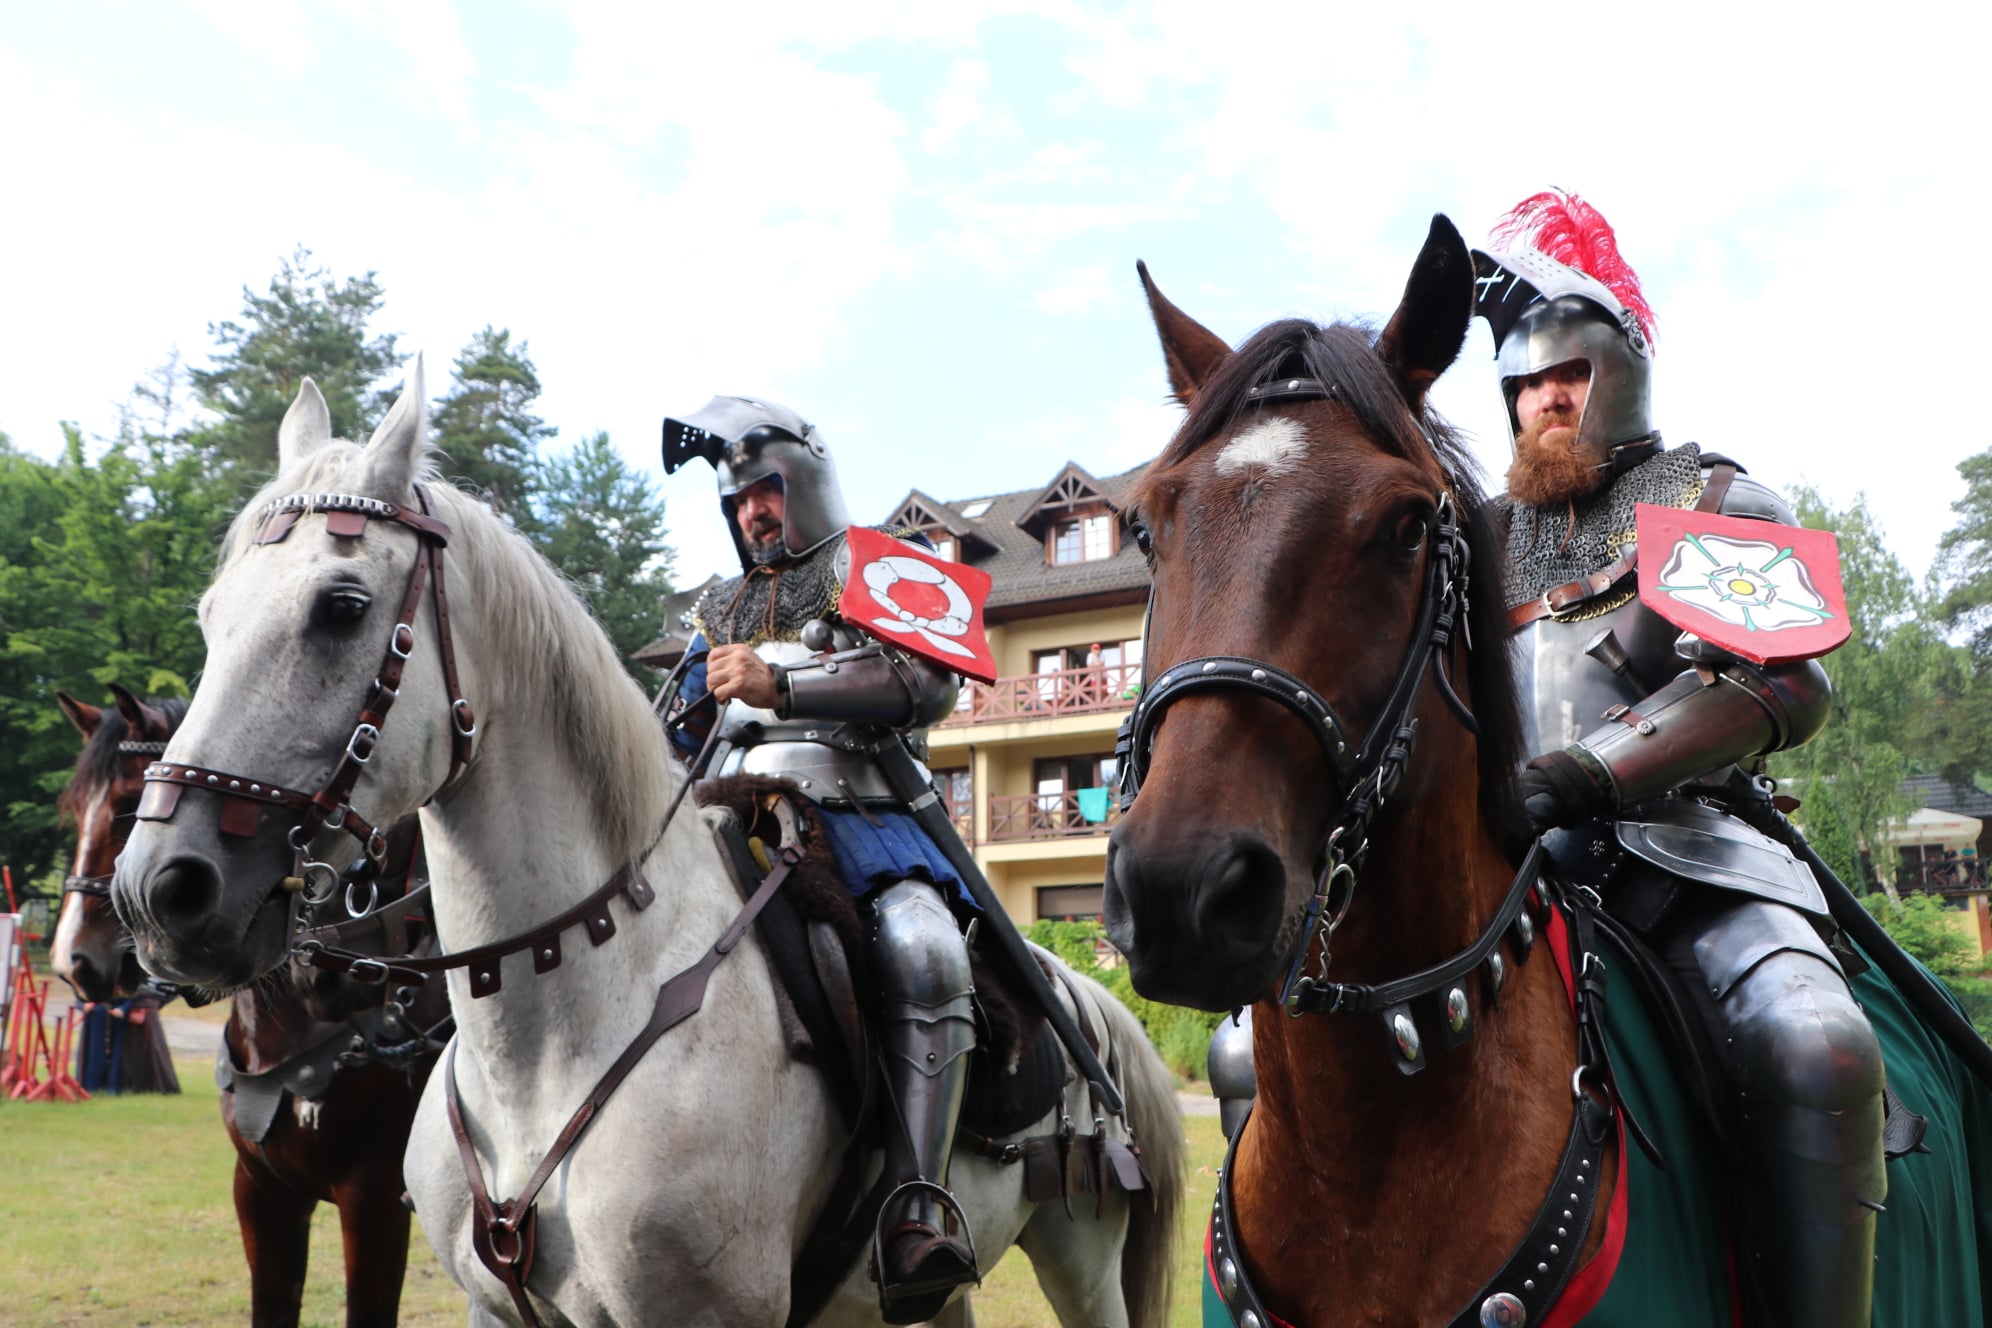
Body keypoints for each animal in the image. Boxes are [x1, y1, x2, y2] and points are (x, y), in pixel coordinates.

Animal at [110, 365, 1184, 1328]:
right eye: (210, 617)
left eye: (341, 607)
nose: (162, 892)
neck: (557, 1039)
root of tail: (1090, 1002)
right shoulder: (496, 1310)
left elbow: (911, 679)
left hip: (1079, 1255)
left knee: (924, 965)